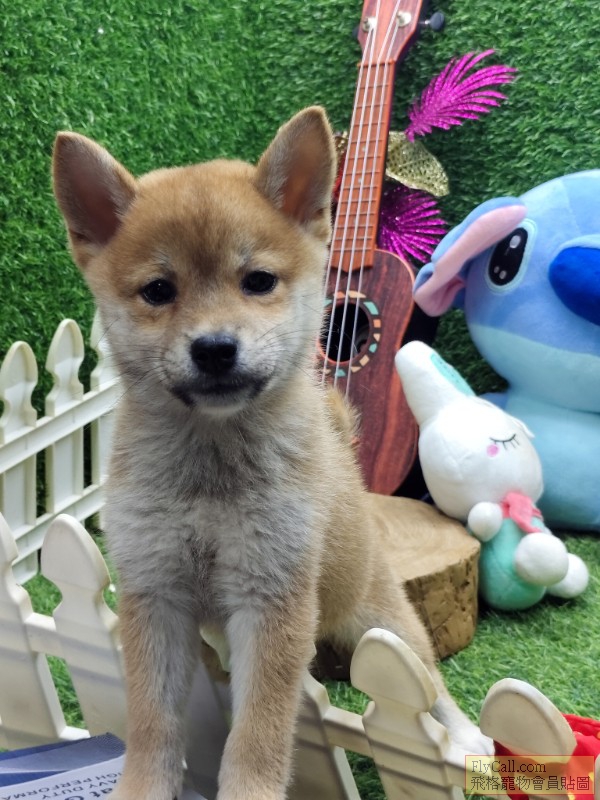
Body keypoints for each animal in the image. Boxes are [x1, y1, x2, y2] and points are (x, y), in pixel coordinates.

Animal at [52, 107, 492, 800]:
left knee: (427, 685)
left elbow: (256, 738)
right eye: (159, 290)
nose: (214, 348)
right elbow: (152, 726)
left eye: (257, 281)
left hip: (381, 619)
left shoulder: (273, 599)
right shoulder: (156, 596)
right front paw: (143, 787)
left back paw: (467, 737)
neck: (210, 470)